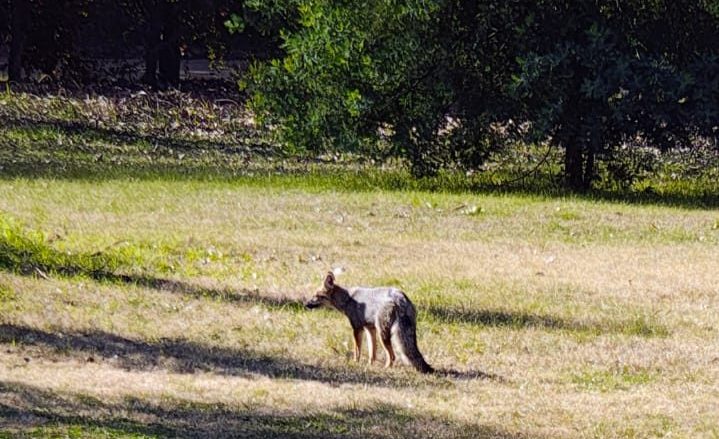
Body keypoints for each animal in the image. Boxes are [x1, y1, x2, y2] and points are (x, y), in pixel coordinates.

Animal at [305, 272, 433, 374]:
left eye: (316, 296)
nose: (305, 304)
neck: (348, 299)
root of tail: (400, 297)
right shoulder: (370, 329)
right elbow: (372, 352)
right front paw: (369, 365)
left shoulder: (357, 328)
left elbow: (357, 350)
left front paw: (355, 363)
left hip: (383, 334)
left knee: (392, 356)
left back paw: (386, 368)